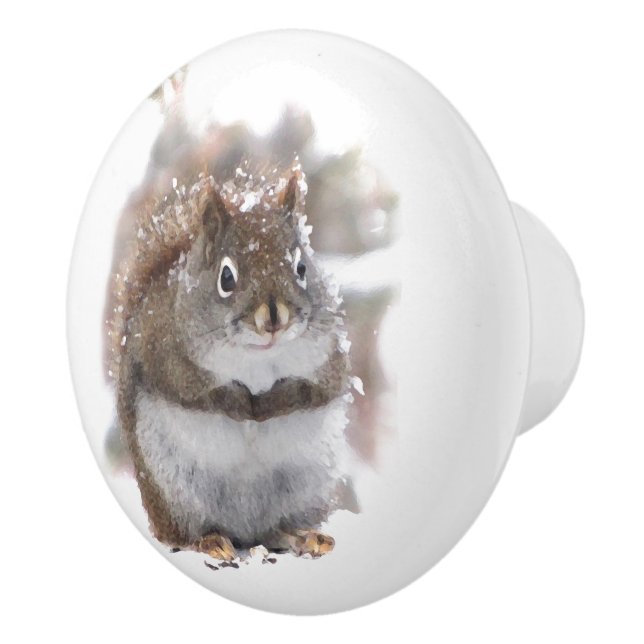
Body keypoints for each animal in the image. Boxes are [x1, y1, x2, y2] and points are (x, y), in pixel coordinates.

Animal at [109, 160, 355, 560]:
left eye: (302, 268)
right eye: (226, 277)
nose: (274, 318)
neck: (258, 357)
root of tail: (246, 532)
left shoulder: (329, 358)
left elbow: (318, 390)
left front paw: (274, 402)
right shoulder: (164, 352)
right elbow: (194, 392)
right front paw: (241, 404)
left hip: (306, 485)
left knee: (276, 527)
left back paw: (302, 535)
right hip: (175, 487)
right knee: (184, 531)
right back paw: (209, 541)